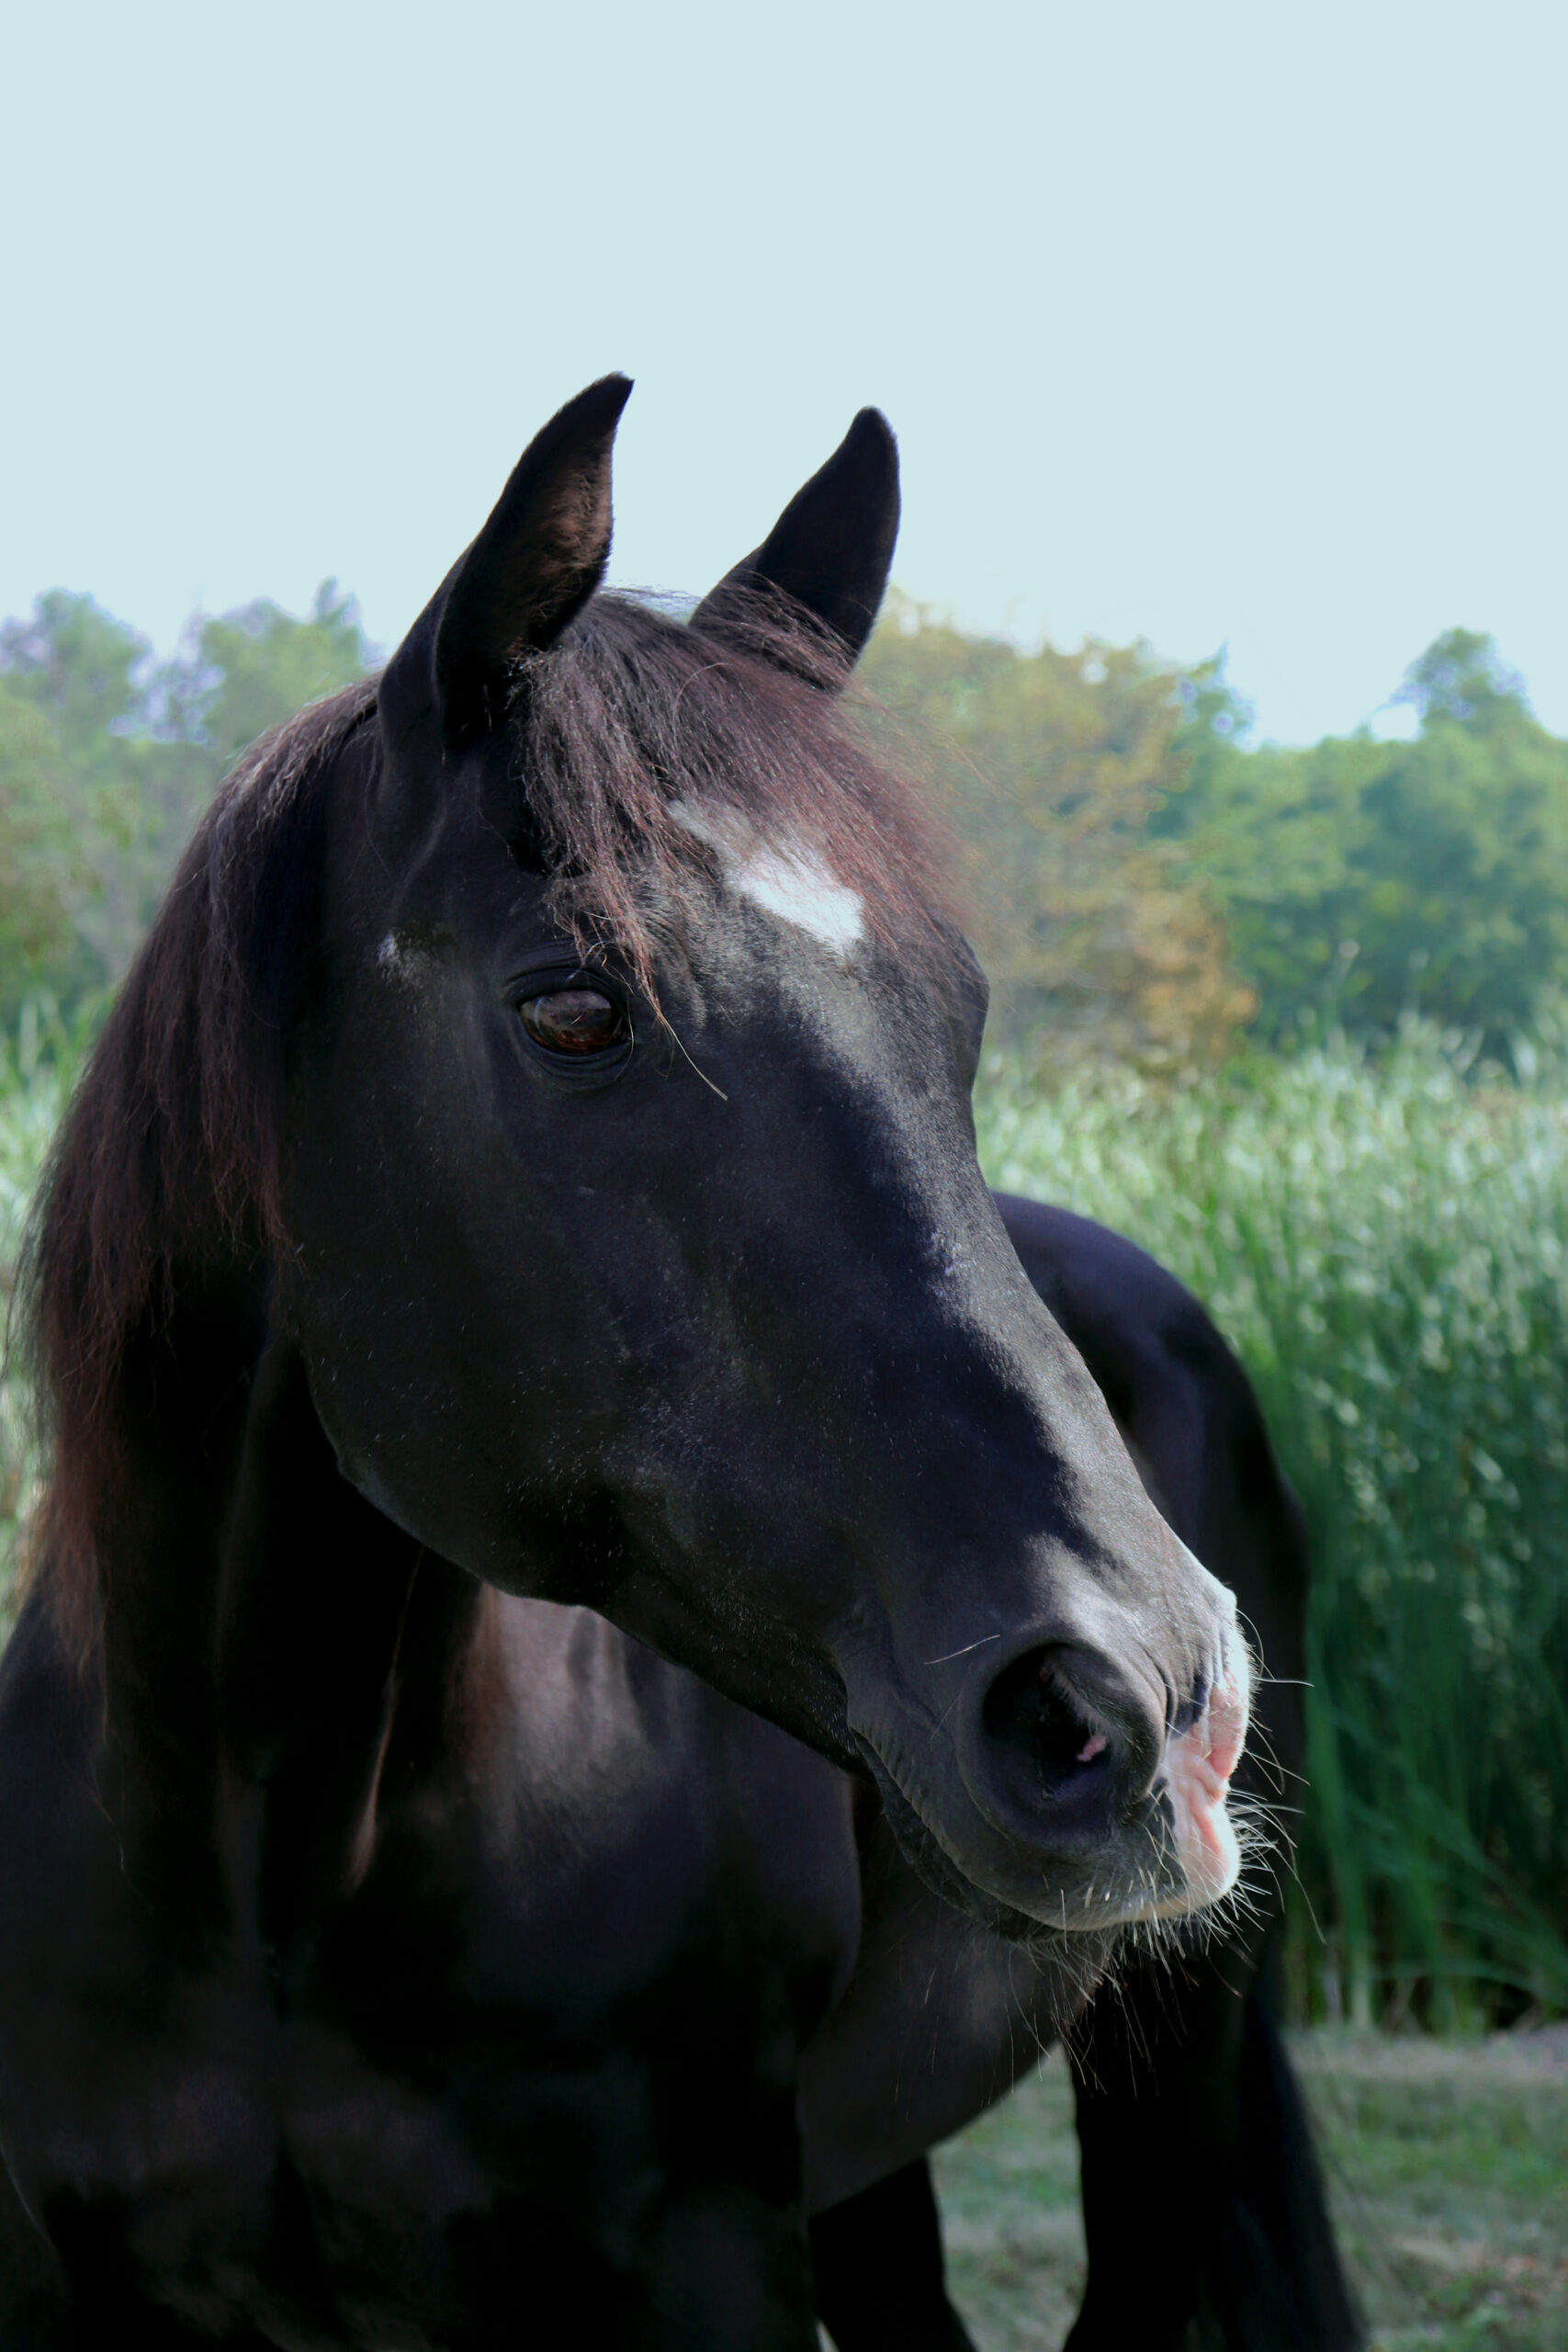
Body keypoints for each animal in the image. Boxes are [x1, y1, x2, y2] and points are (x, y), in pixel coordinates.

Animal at [0, 377, 1353, 2349]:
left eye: (957, 1018)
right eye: (575, 1008)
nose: (1147, 1703)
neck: (264, 1874)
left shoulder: (703, 2263)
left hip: (1163, 2067)